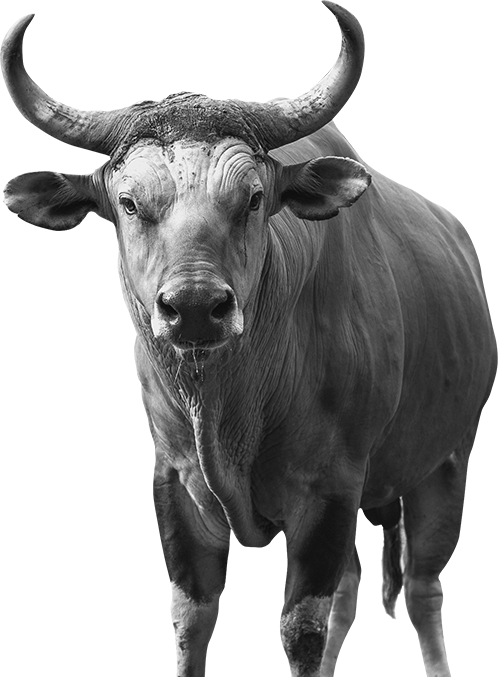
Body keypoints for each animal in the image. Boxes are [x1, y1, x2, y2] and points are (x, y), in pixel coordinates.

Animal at [2, 3, 496, 676]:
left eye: (254, 197)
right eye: (128, 201)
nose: (194, 308)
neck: (230, 407)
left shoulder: (330, 487)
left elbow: (302, 626)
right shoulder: (175, 481)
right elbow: (192, 617)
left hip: (445, 461)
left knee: (422, 587)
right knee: (354, 591)